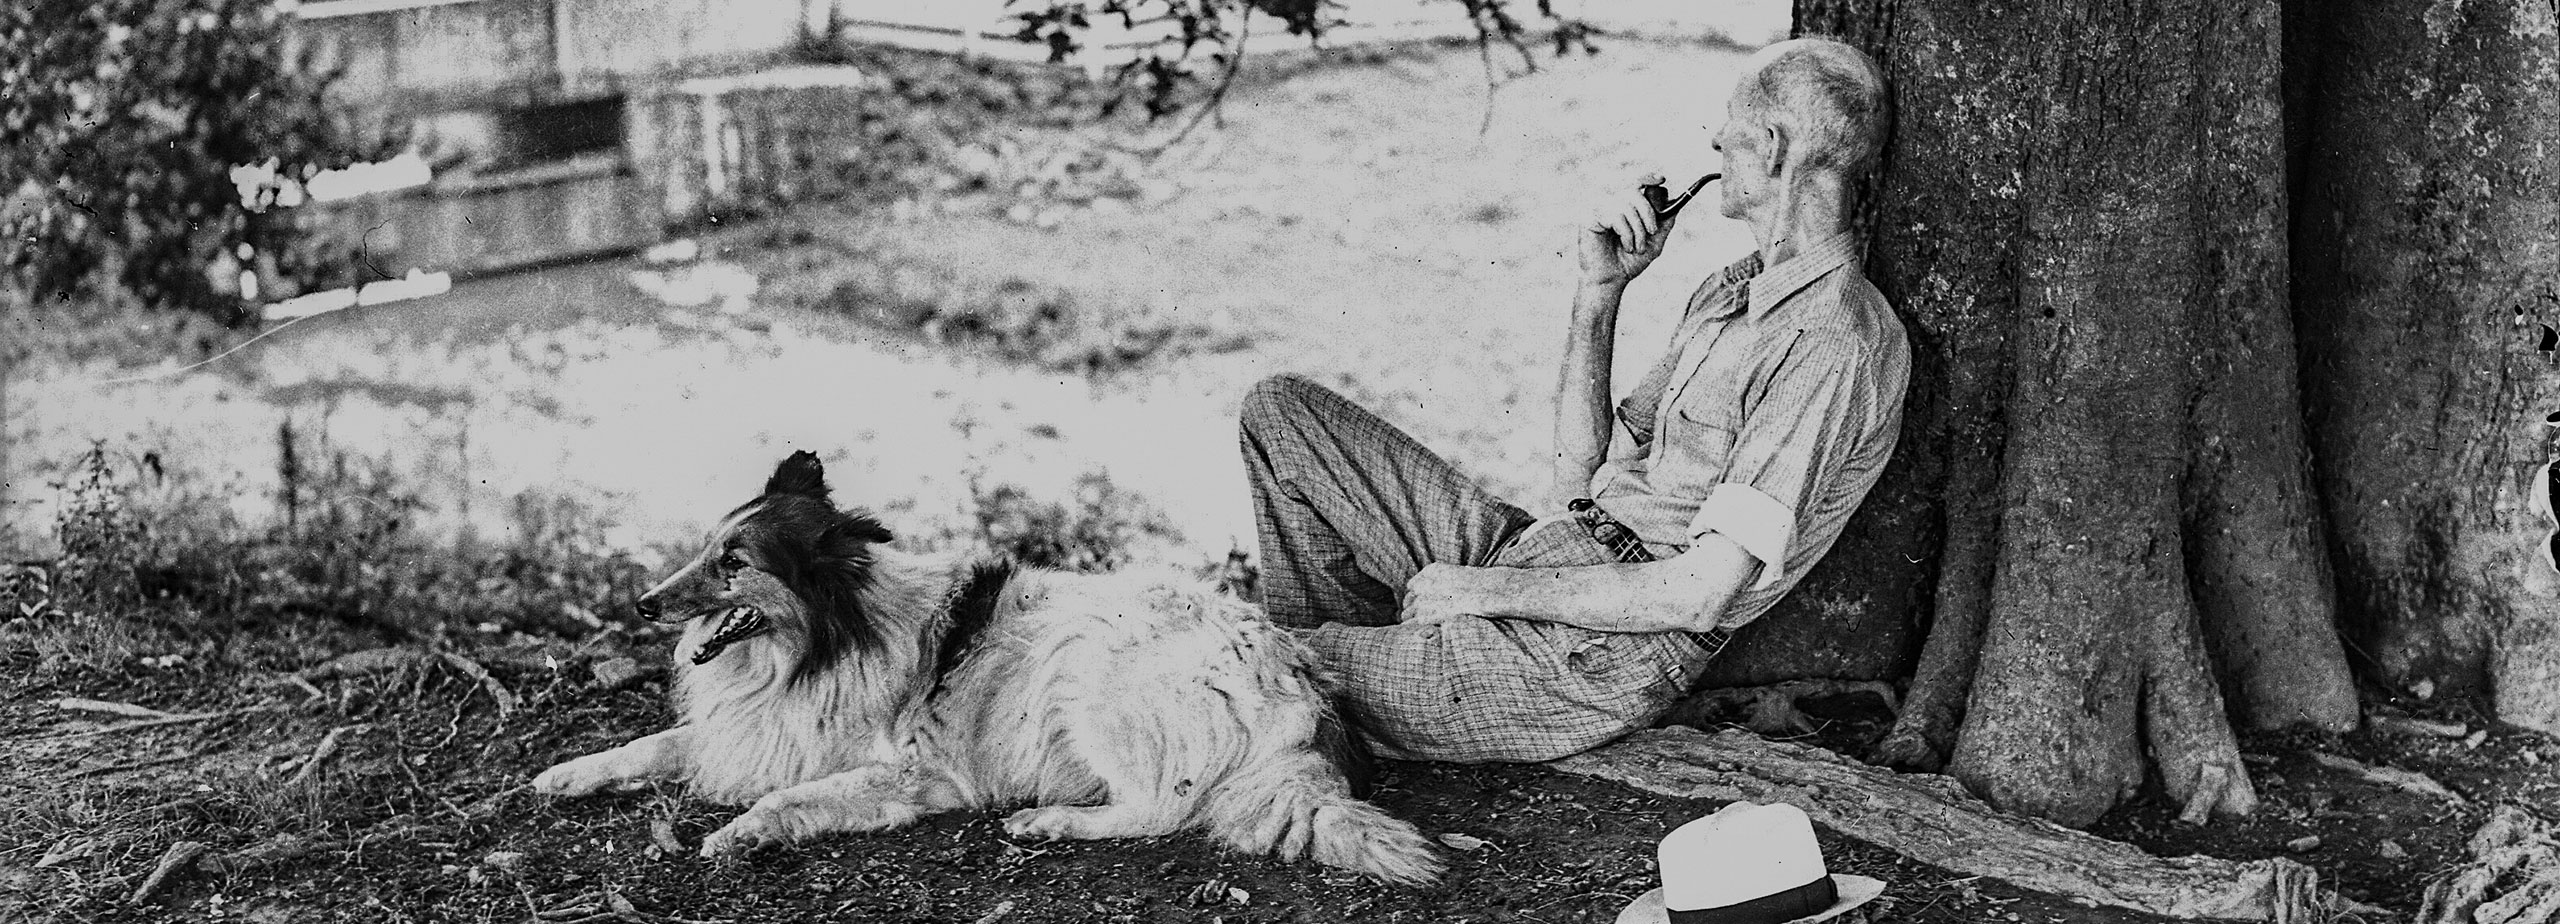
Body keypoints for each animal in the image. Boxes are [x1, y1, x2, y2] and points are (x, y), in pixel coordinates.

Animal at [529, 450, 1454, 880]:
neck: (826, 641)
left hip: (1090, 682)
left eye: (734, 562)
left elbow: (788, 798)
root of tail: (1301, 685)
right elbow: (649, 747)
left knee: (1162, 809)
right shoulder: (761, 731)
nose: (644, 606)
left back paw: (1051, 822)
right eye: (703, 549)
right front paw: (564, 775)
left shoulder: (911, 774)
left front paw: (736, 833)